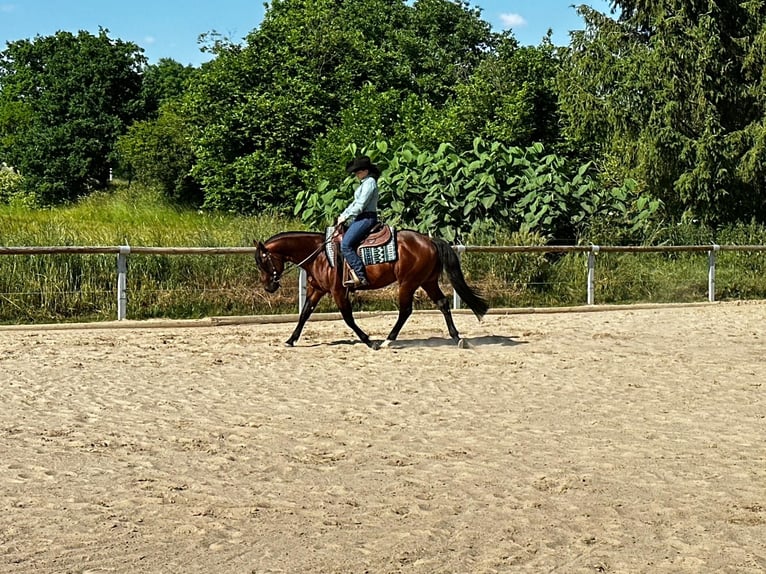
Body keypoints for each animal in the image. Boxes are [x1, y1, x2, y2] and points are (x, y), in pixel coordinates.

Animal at [255, 231, 488, 352]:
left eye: (263, 262)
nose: (269, 286)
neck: (320, 255)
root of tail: (429, 240)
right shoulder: (316, 290)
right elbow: (304, 314)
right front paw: (290, 340)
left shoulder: (338, 292)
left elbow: (348, 318)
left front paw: (369, 341)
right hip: (427, 282)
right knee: (442, 304)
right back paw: (457, 338)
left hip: (408, 283)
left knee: (406, 311)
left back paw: (387, 340)